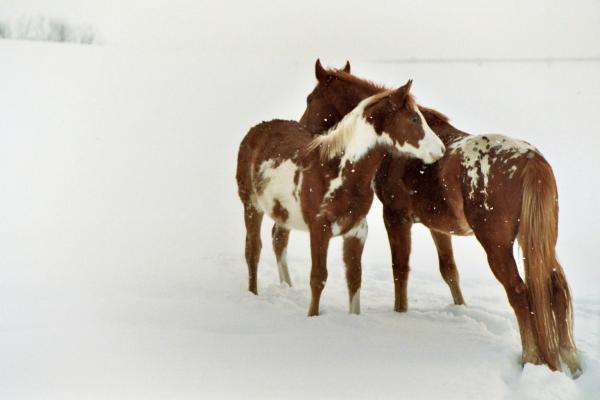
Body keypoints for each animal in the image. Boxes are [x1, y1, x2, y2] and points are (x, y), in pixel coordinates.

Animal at [236, 80, 446, 318]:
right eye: (414, 119)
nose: (440, 150)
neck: (339, 170)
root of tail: (256, 130)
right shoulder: (319, 229)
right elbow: (318, 278)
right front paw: (312, 316)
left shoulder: (357, 231)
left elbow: (354, 279)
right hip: (251, 206)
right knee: (253, 249)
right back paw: (253, 293)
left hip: (283, 214)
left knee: (278, 241)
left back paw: (286, 287)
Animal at [292, 60, 580, 376]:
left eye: (310, 99)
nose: (303, 134)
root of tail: (530, 161)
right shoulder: (438, 227)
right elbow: (449, 271)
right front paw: (460, 308)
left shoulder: (395, 217)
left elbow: (400, 269)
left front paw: (400, 312)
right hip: (538, 242)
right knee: (557, 289)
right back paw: (571, 361)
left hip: (498, 246)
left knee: (519, 292)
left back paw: (531, 357)